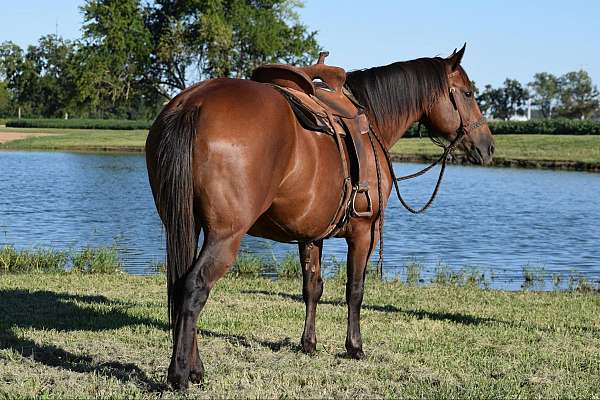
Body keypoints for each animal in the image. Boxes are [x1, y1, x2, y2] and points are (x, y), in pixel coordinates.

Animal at [146, 45, 496, 390]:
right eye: (467, 93)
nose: (489, 146)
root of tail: (196, 102)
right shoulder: (364, 232)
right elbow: (355, 290)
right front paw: (355, 347)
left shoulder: (310, 234)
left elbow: (312, 287)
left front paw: (309, 344)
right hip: (225, 235)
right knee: (194, 288)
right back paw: (180, 375)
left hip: (186, 225)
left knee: (180, 284)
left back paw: (195, 369)